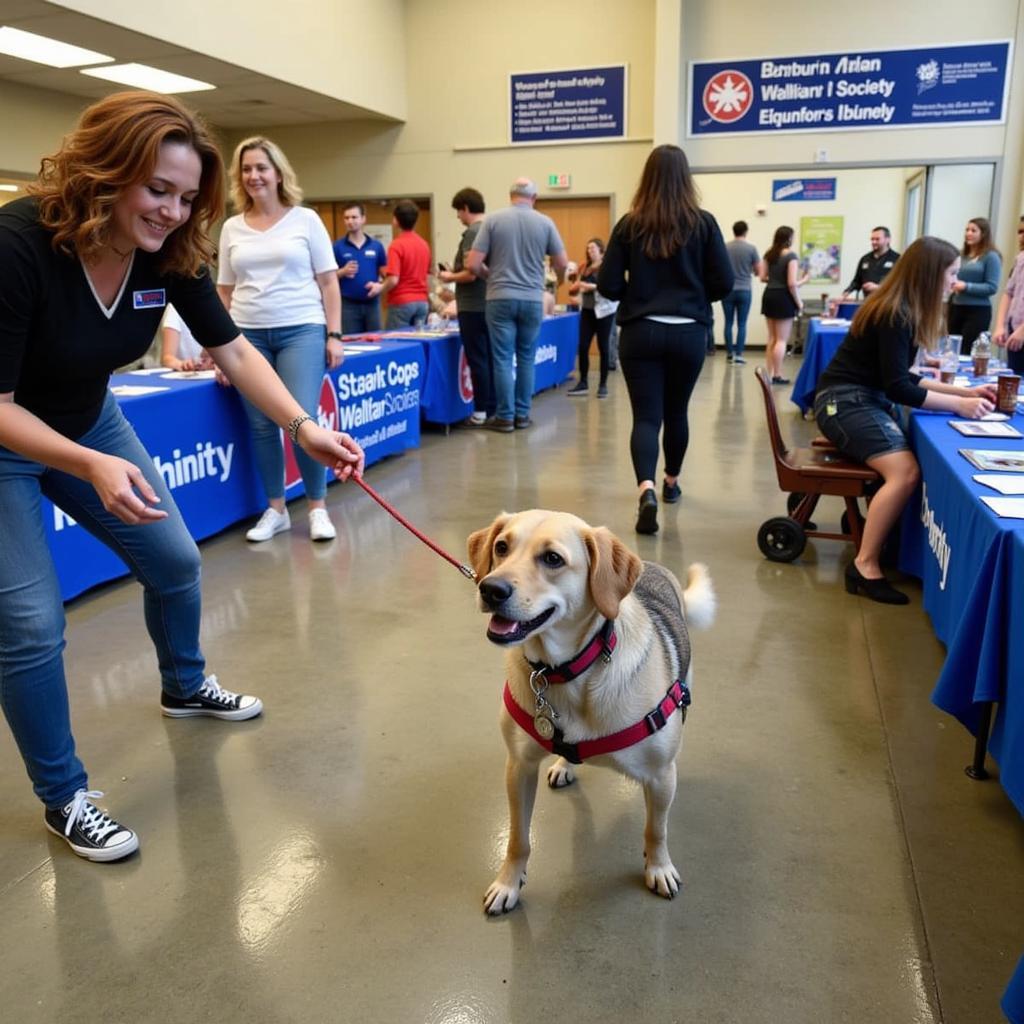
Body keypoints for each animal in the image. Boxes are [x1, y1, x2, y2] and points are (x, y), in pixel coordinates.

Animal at [464, 507, 712, 917]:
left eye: (552, 559)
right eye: (501, 547)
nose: (490, 589)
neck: (564, 671)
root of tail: (652, 565)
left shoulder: (660, 777)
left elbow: (656, 829)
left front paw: (658, 867)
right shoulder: (518, 768)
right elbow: (518, 838)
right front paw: (508, 883)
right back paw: (565, 763)